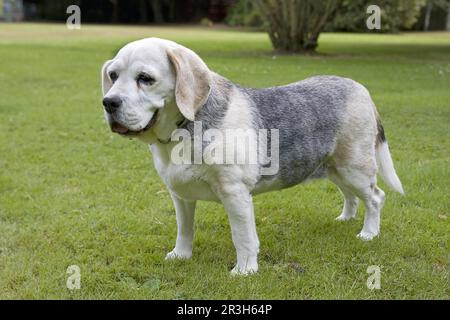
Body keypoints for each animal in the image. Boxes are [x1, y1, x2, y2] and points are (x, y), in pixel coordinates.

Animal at [100, 37, 402, 272]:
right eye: (113, 76)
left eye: (145, 79)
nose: (109, 102)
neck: (183, 130)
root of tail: (359, 88)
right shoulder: (180, 195)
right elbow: (184, 229)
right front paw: (180, 255)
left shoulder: (234, 193)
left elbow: (243, 237)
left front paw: (245, 270)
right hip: (335, 168)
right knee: (351, 196)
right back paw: (347, 218)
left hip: (354, 167)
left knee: (376, 197)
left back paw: (368, 233)